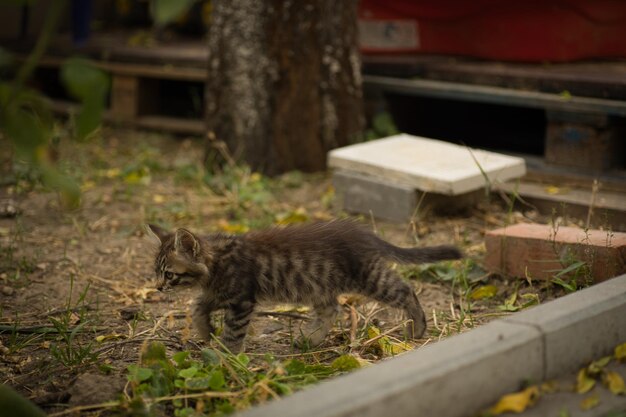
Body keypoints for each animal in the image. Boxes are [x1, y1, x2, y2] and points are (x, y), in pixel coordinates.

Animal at [145, 219, 458, 352]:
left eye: (169, 274)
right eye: (157, 272)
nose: (159, 288)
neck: (216, 261)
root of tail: (366, 233)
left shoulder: (242, 299)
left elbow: (234, 331)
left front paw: (225, 355)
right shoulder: (219, 293)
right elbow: (197, 306)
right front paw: (206, 331)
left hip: (371, 278)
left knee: (406, 290)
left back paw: (418, 328)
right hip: (318, 285)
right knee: (331, 310)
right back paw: (311, 339)